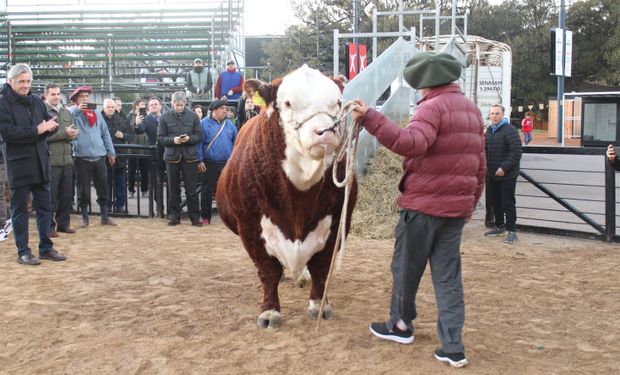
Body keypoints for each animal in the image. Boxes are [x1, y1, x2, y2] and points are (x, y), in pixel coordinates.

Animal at [216, 65, 356, 328]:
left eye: (338, 102)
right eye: (289, 103)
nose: (325, 131)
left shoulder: (336, 222)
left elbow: (321, 268)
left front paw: (319, 305)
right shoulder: (250, 226)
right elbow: (268, 271)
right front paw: (269, 311)